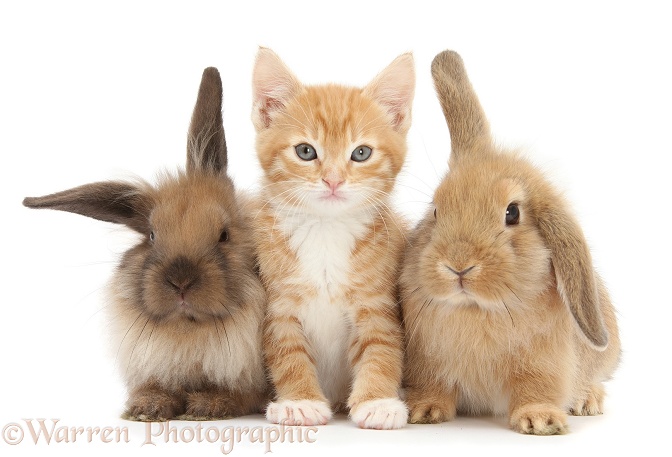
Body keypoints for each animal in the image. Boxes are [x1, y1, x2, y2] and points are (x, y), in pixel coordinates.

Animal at [21, 67, 268, 420]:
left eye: (224, 235)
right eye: (151, 235)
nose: (181, 282)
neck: (188, 330)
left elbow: (243, 394)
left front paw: (208, 405)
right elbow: (153, 387)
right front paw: (147, 407)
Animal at [249, 48, 412, 430]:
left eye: (361, 153)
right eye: (306, 151)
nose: (334, 180)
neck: (325, 229)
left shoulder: (376, 302)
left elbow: (381, 347)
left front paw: (378, 401)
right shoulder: (279, 305)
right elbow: (288, 353)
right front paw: (299, 401)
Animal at [402, 50, 624, 434]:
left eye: (512, 213)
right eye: (435, 210)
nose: (458, 265)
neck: (477, 310)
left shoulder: (542, 364)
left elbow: (535, 388)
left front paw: (540, 420)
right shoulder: (425, 361)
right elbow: (433, 386)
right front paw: (423, 410)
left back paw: (586, 401)